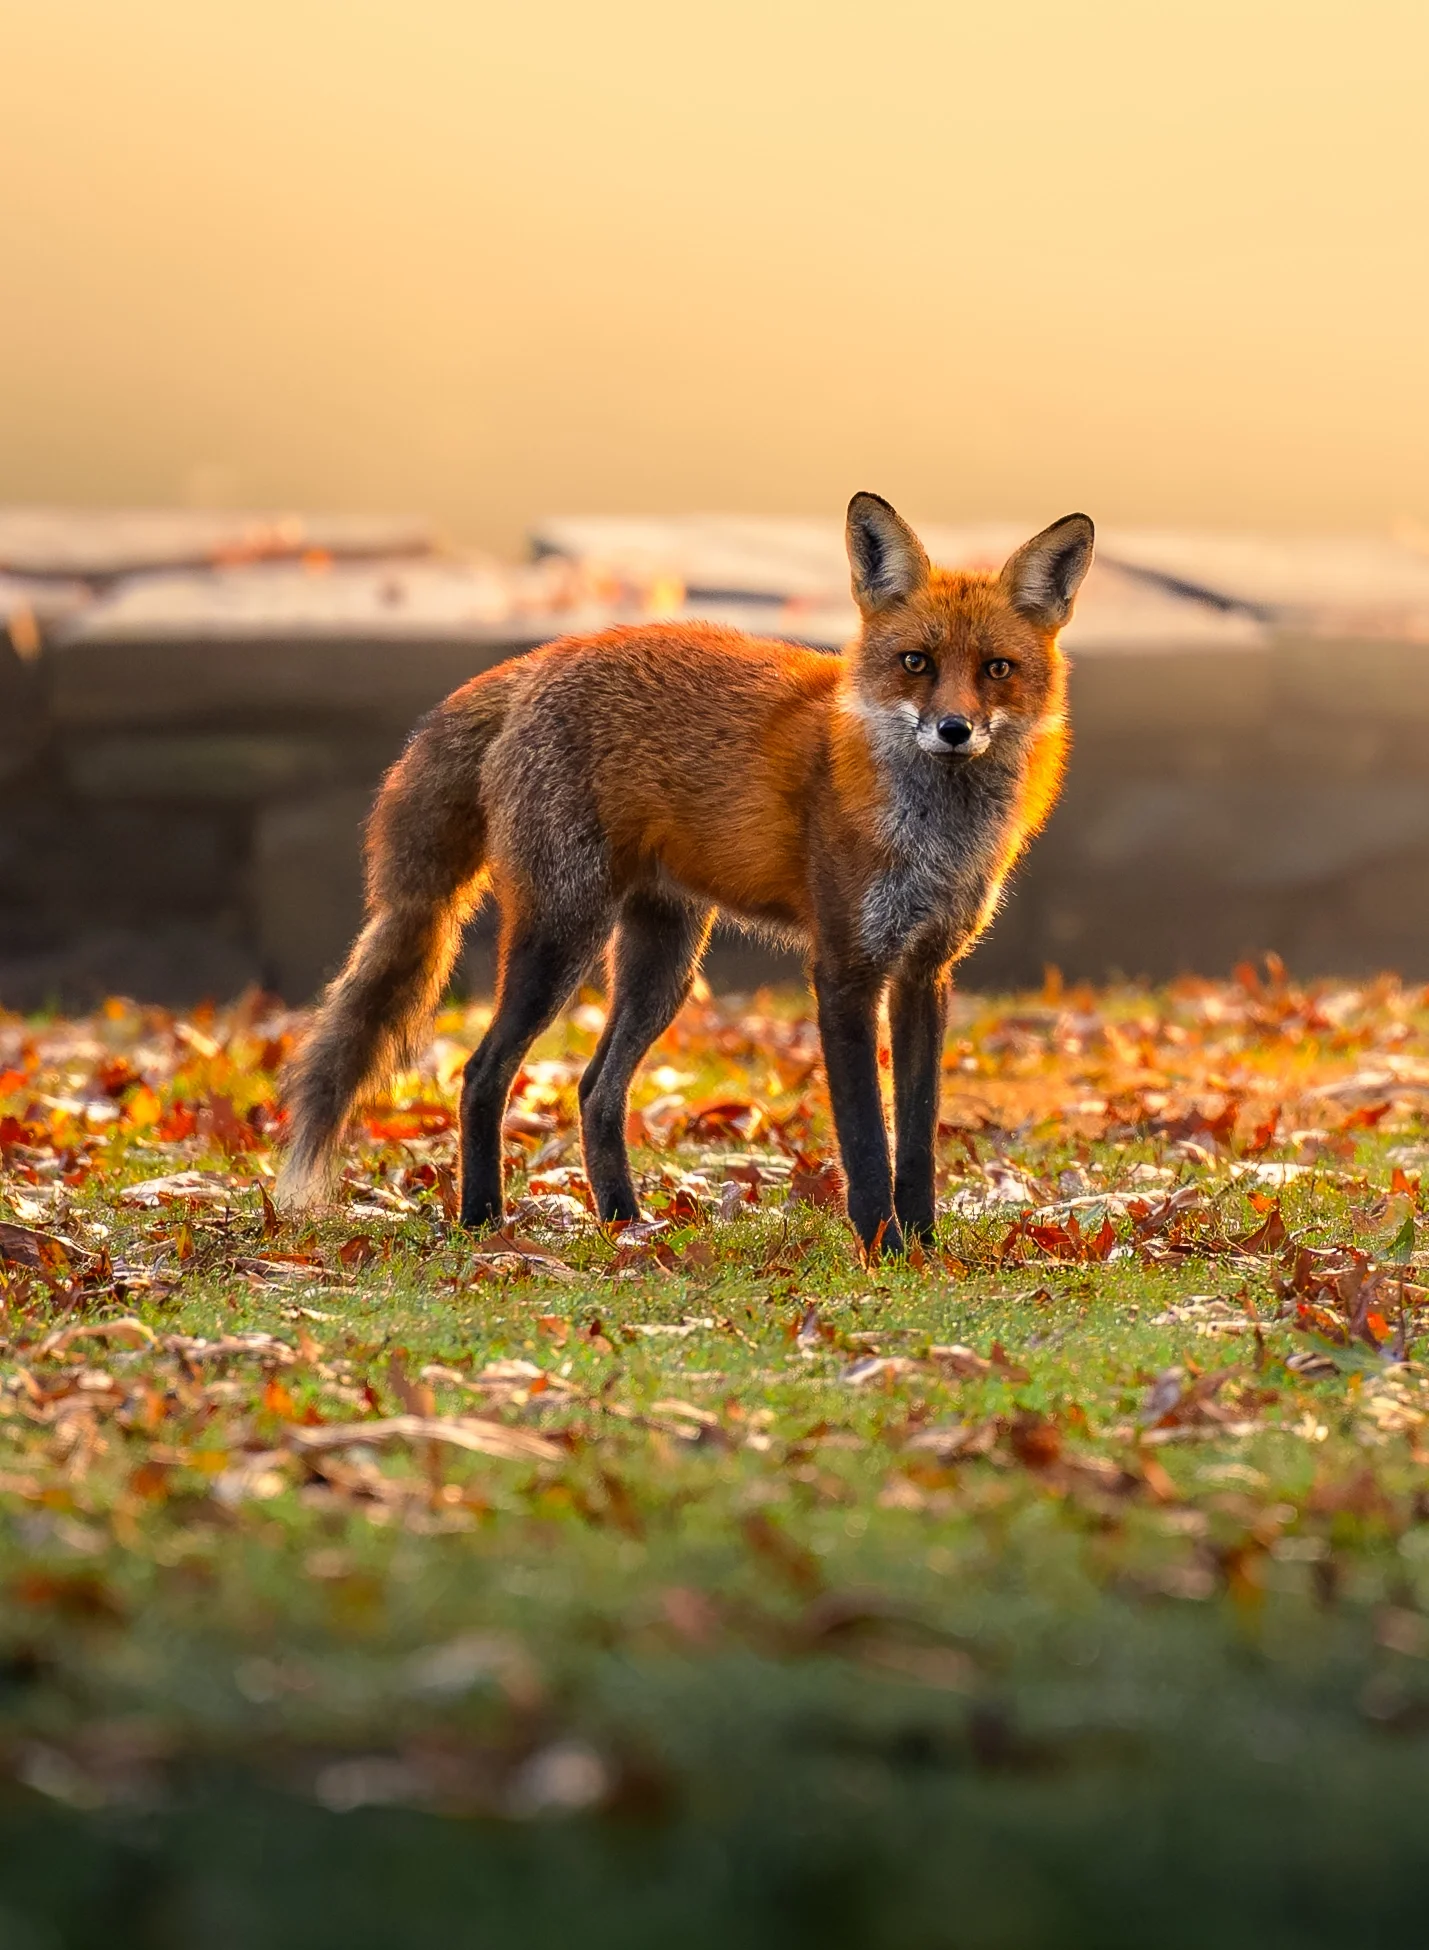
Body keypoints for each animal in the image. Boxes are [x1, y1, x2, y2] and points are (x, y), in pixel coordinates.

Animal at [277, 493, 1093, 1255]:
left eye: (996, 670)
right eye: (916, 662)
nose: (954, 730)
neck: (933, 834)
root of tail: (541, 659)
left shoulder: (925, 972)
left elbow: (917, 1135)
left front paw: (922, 1247)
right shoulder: (844, 967)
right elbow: (865, 1138)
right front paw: (881, 1250)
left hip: (662, 964)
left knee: (594, 1090)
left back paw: (625, 1226)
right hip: (562, 936)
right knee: (482, 1073)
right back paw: (483, 1221)